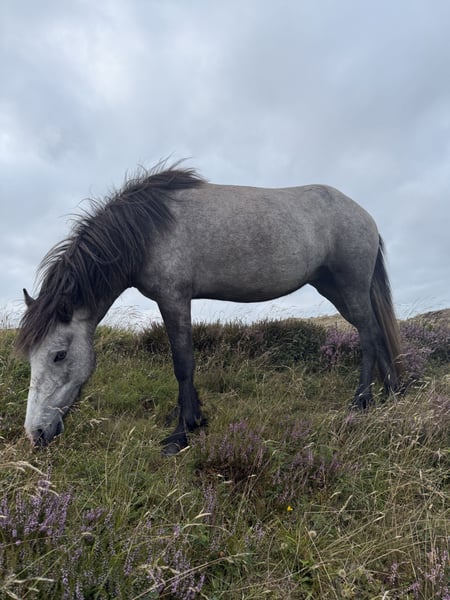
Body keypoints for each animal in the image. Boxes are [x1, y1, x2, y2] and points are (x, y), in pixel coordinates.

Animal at [16, 162, 403, 455]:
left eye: (59, 355)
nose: (35, 434)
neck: (146, 229)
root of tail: (364, 215)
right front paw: (194, 420)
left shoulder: (174, 298)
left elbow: (183, 363)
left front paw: (182, 433)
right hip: (334, 288)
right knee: (375, 331)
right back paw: (393, 394)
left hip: (350, 286)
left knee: (368, 334)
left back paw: (361, 401)